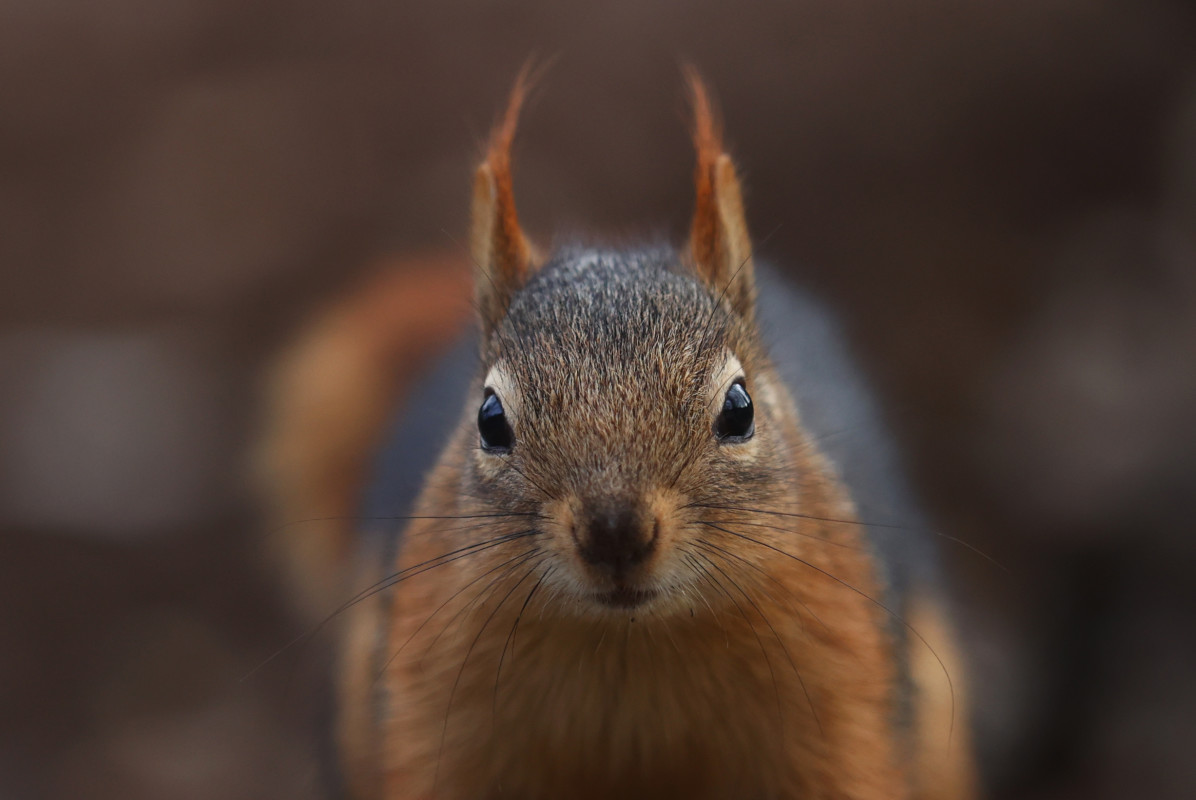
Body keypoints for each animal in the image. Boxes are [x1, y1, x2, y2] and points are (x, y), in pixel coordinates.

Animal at [257, 71, 979, 800]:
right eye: (490, 419)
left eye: (740, 409)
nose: (615, 531)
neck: (631, 652)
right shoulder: (433, 724)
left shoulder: (844, 710)